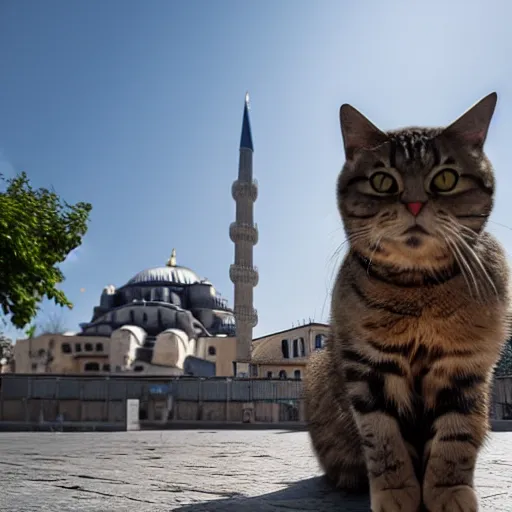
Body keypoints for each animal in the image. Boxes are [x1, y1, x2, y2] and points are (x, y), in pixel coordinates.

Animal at [306, 93, 510, 512]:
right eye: (383, 180)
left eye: (445, 179)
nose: (414, 205)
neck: (420, 288)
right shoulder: (370, 369)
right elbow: (383, 440)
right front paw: (395, 491)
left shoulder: (464, 367)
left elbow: (456, 437)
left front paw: (448, 490)